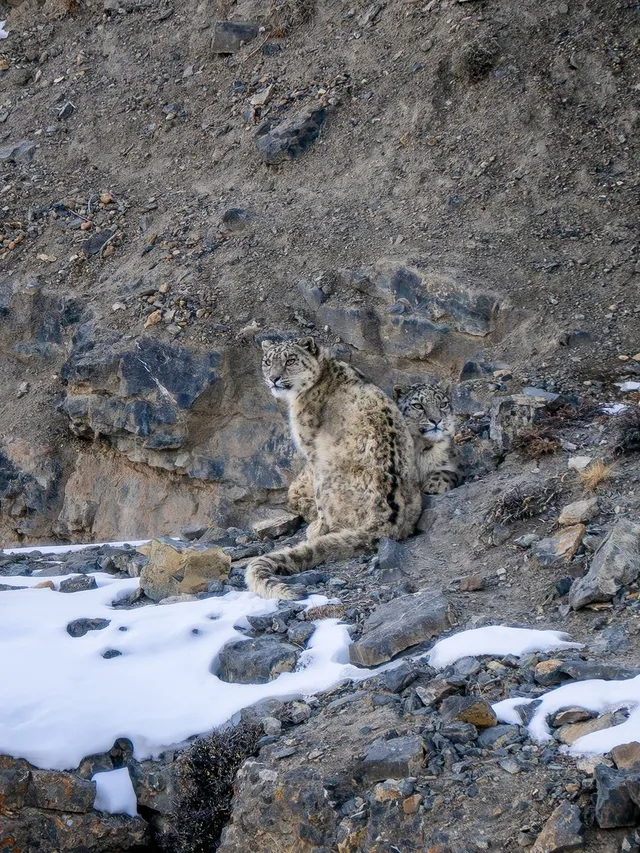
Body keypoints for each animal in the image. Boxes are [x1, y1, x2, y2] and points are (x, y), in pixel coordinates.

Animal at [246, 338, 422, 600]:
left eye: (291, 360)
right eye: (268, 361)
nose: (274, 378)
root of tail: (388, 522)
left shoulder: (309, 446)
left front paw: (316, 527)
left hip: (326, 475)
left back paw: (317, 530)